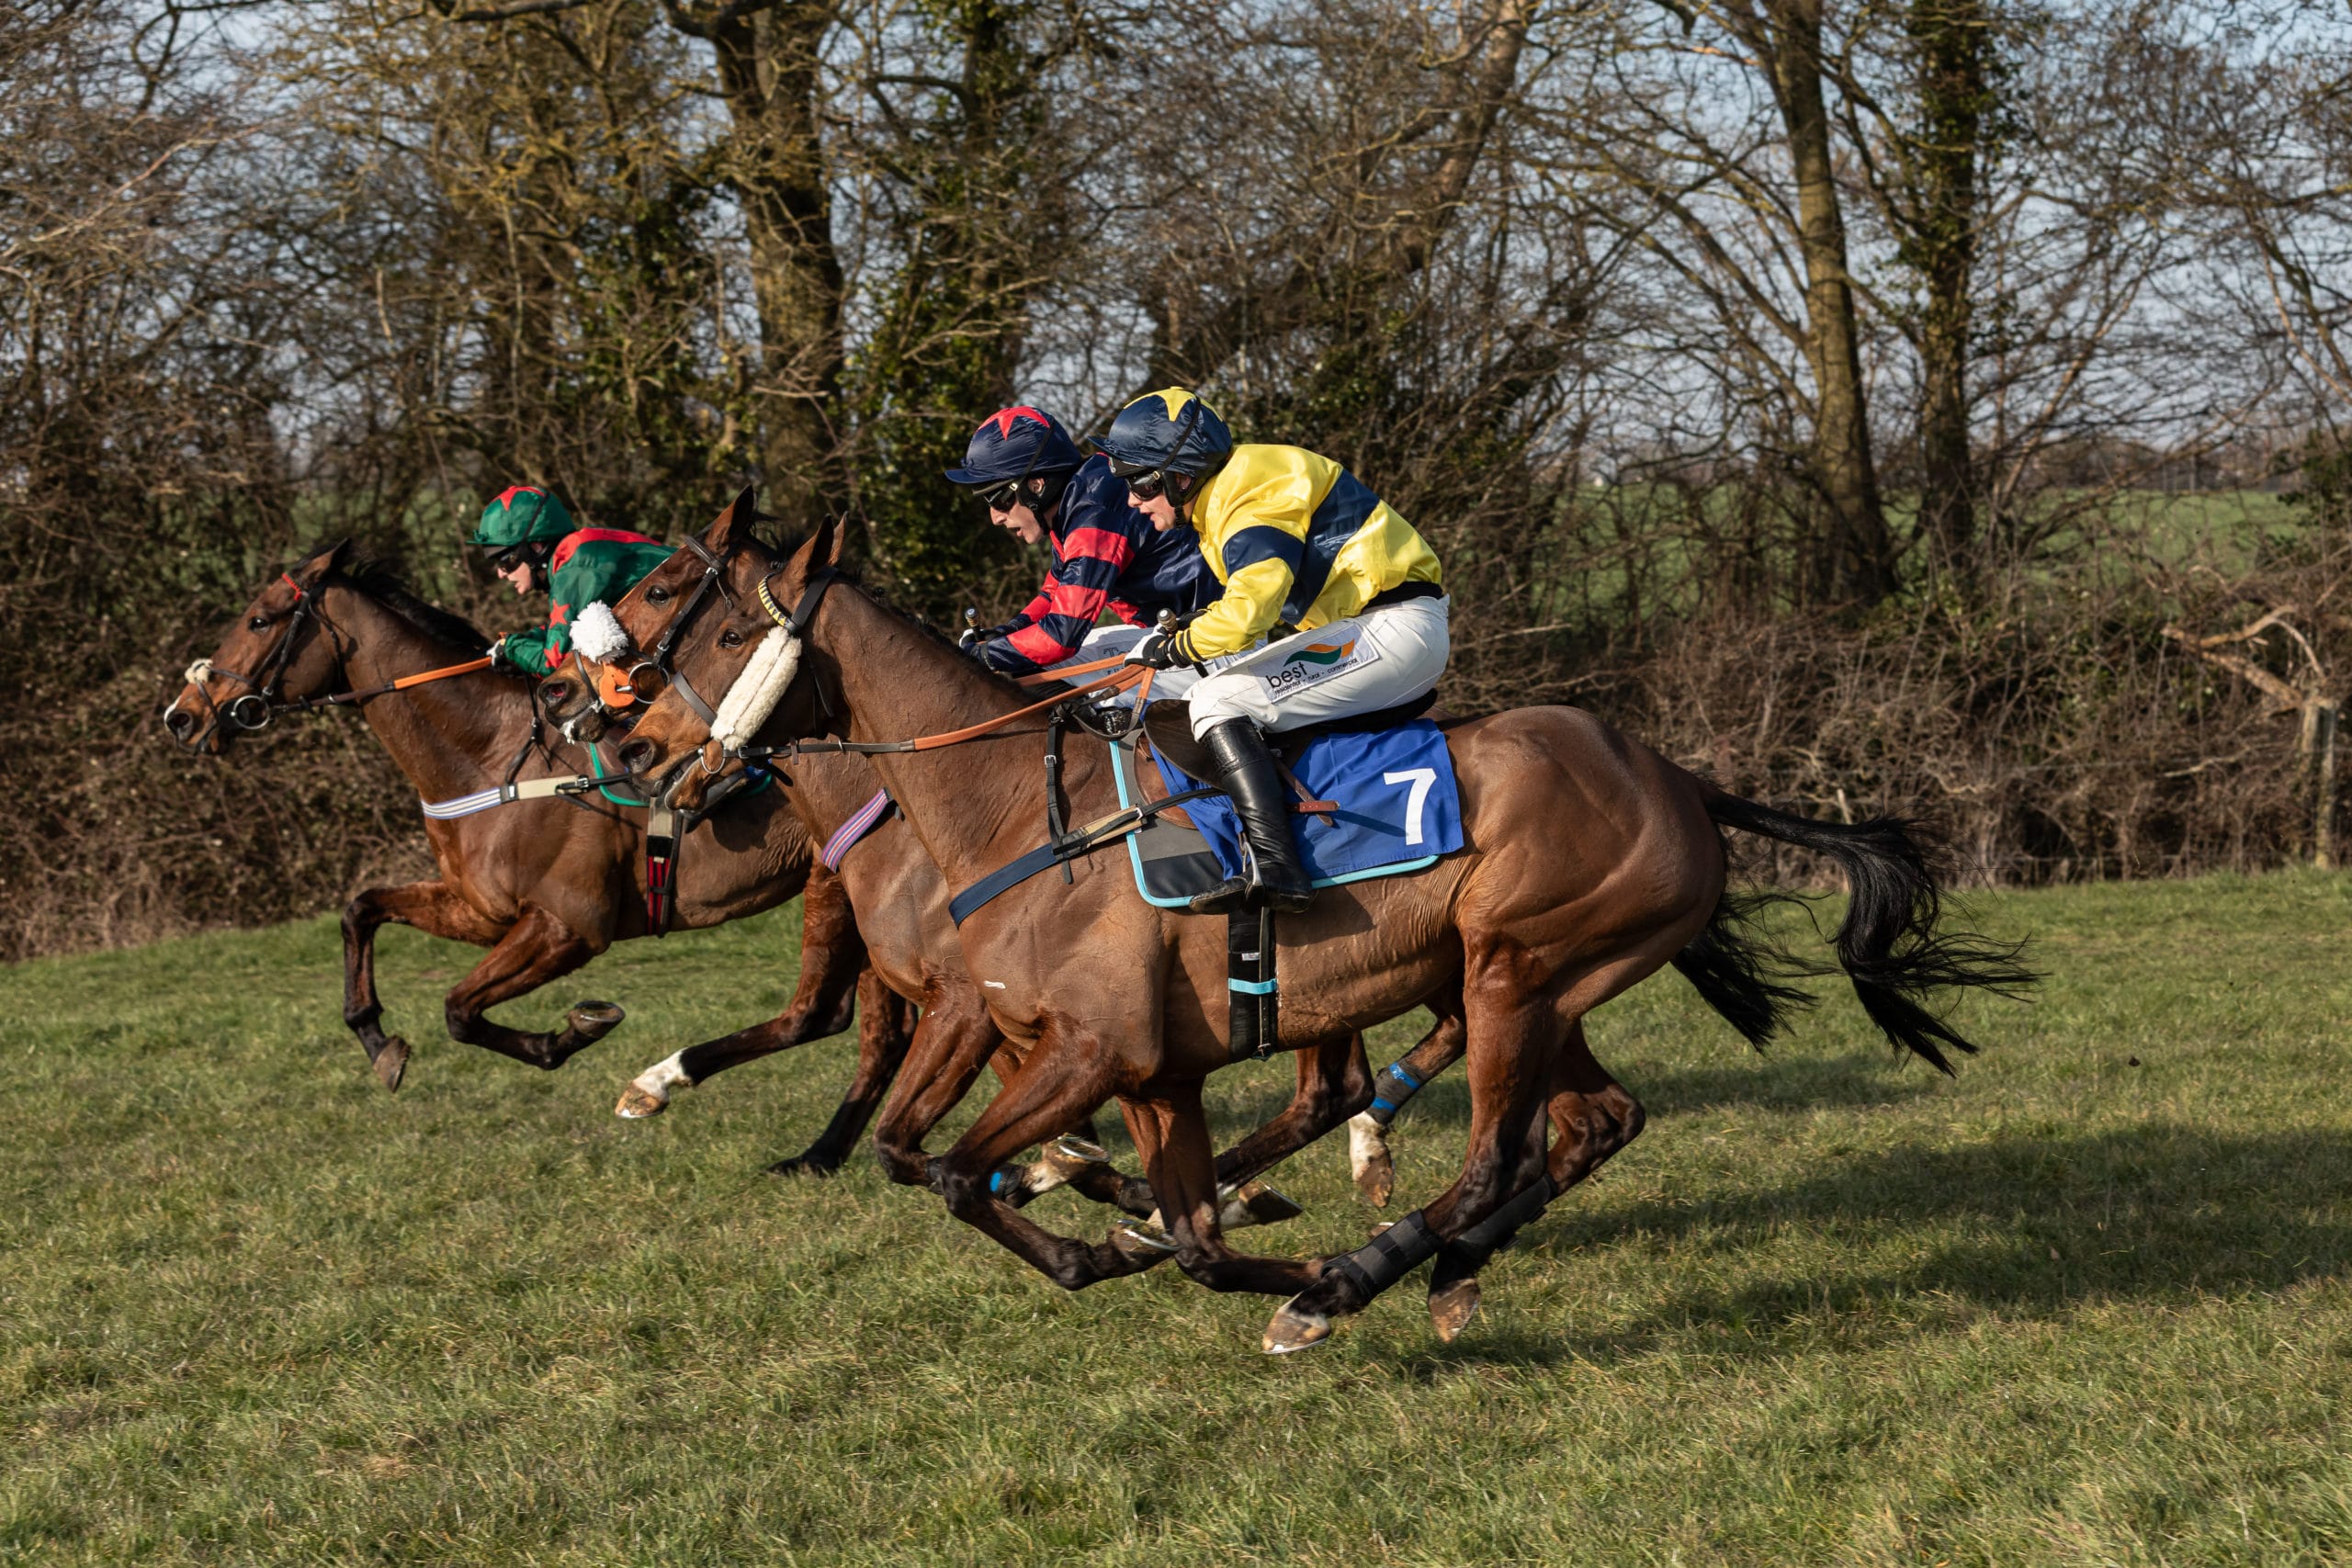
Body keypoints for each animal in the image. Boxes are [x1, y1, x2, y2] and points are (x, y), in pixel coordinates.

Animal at [160, 539, 913, 1175]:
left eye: (259, 620)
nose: (182, 715)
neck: (487, 755)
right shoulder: (481, 909)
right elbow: (361, 910)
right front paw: (379, 1042)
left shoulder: (567, 927)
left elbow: (458, 1008)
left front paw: (574, 1031)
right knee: (879, 1033)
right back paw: (820, 1153)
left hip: (836, 883)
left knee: (819, 1014)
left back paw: (676, 1092)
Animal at [613, 520, 2032, 1351]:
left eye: (717, 619)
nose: (624, 737)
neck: (1010, 806)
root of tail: (1678, 778)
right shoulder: (1148, 1072)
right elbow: (1169, 1230)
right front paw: (1141, 1234)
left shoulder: (1081, 1049)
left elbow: (959, 1170)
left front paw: (1146, 1250)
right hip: (1536, 985)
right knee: (1588, 1124)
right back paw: (1428, 1267)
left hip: (1515, 969)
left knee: (1492, 1151)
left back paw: (1354, 1277)